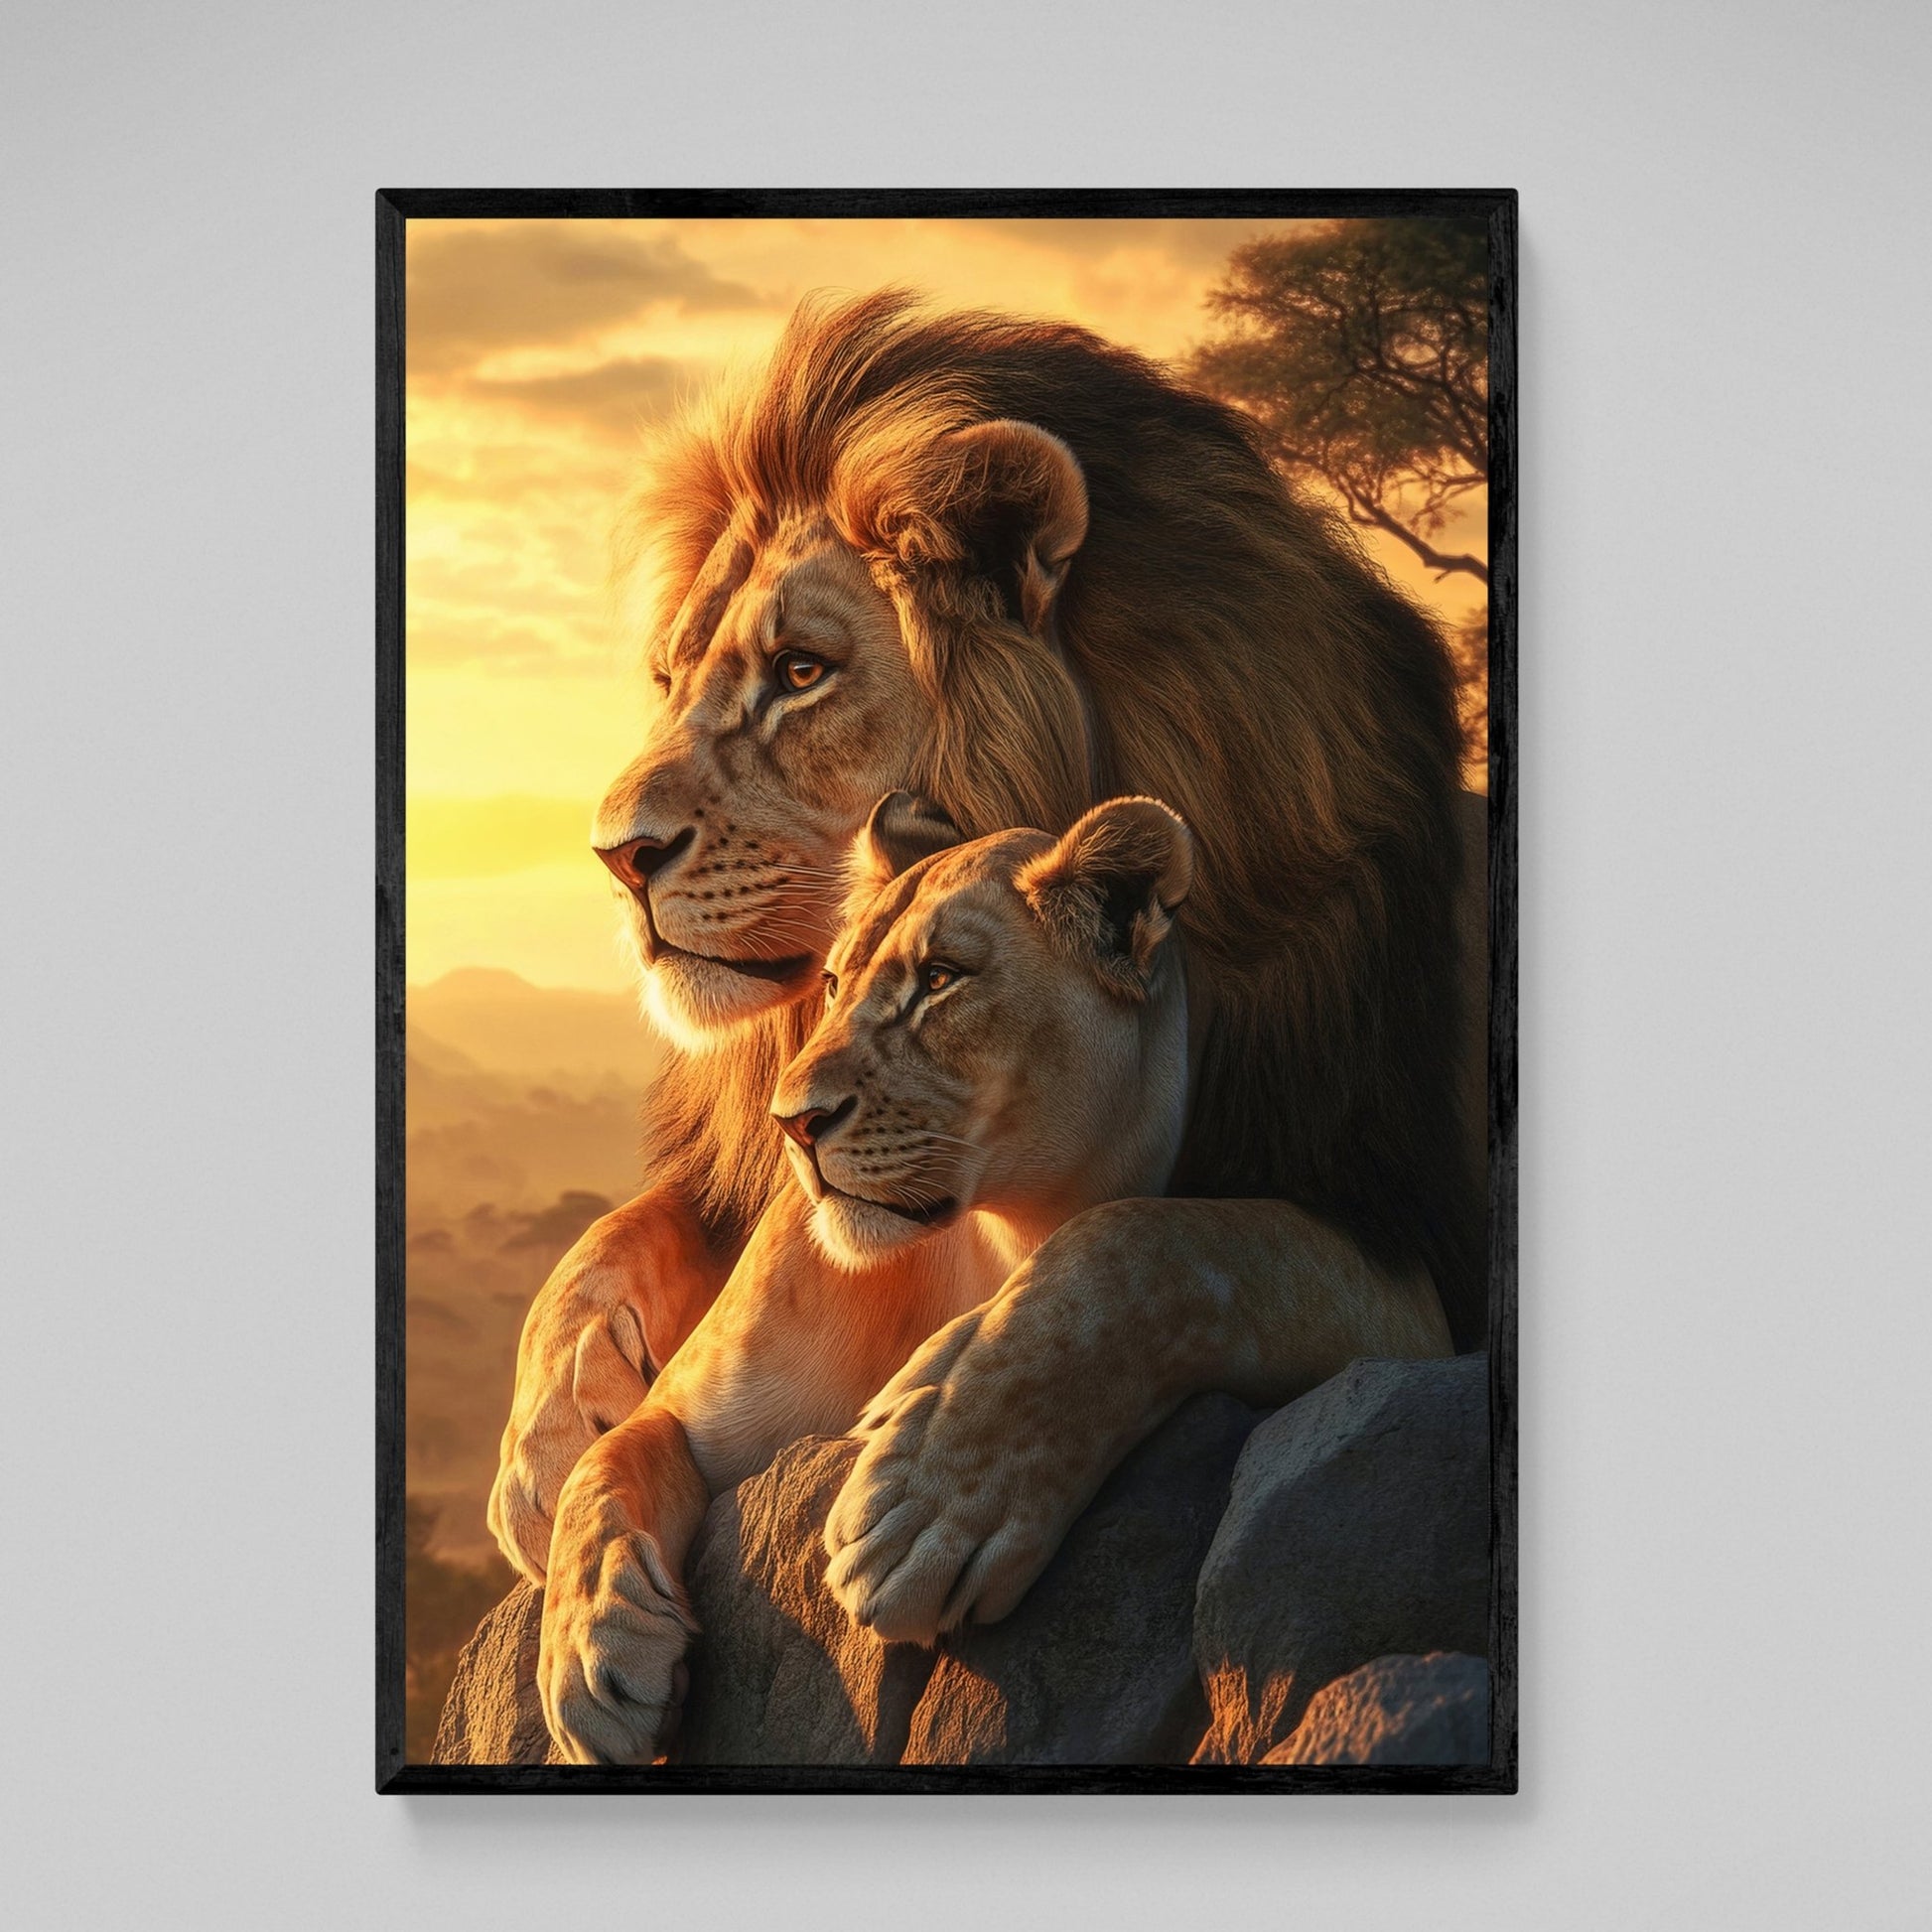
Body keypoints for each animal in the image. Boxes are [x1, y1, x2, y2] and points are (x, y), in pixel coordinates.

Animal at [488, 290, 1486, 1633]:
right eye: (667, 678)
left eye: (799, 672)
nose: (613, 854)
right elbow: (621, 1236)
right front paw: (542, 1451)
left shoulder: (1397, 1227)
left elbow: (1152, 1245)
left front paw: (942, 1482)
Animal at [536, 791, 1455, 1763]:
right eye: (833, 985)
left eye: (941, 979)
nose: (790, 1123)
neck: (997, 1237)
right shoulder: (698, 1411)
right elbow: (606, 1460)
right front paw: (590, 1660)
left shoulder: (1399, 1289)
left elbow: (1142, 1245)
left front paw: (928, 1507)